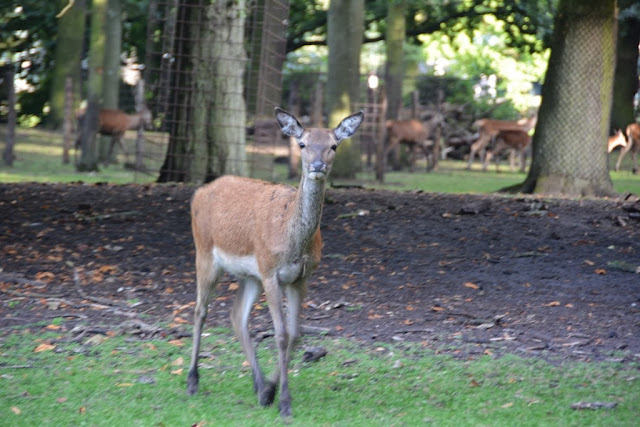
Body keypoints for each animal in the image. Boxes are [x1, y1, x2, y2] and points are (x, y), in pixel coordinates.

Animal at [186, 106, 364, 418]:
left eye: (333, 145)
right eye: (302, 144)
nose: (317, 165)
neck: (293, 242)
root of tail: (199, 192)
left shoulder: (302, 278)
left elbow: (295, 334)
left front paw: (270, 391)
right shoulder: (271, 271)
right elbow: (280, 335)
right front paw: (284, 402)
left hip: (250, 275)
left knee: (236, 315)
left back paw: (258, 386)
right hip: (205, 253)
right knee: (200, 310)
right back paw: (193, 381)